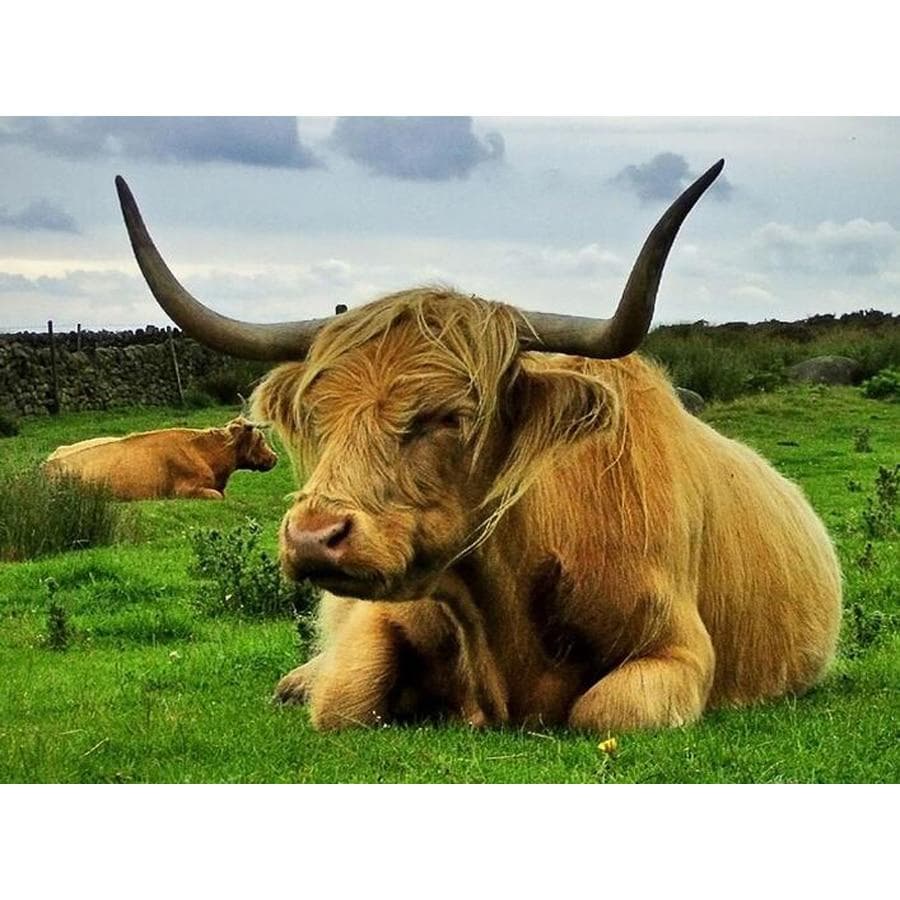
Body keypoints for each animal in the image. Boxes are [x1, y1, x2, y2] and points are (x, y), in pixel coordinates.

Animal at [114, 160, 842, 733]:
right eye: (319, 414)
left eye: (449, 416)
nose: (314, 538)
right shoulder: (382, 620)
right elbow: (345, 699)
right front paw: (310, 687)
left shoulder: (679, 650)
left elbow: (607, 711)